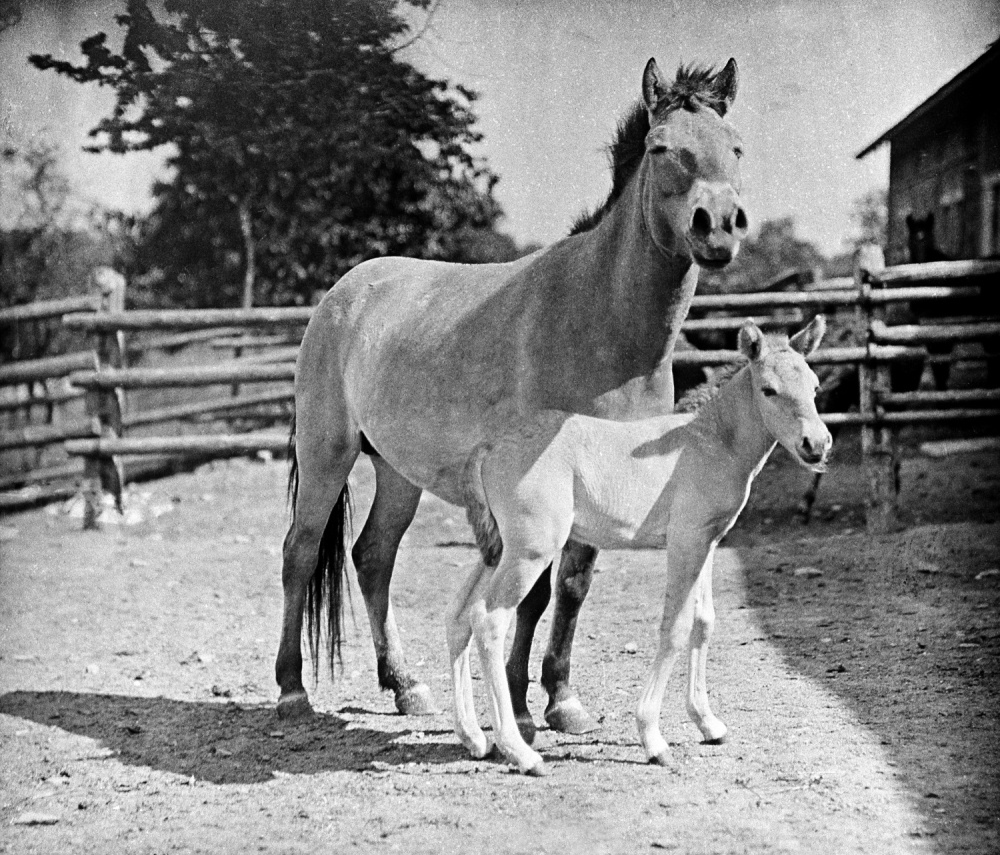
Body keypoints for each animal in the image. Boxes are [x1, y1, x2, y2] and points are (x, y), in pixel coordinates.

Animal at [278, 60, 748, 732]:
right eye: (662, 148)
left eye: (735, 147)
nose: (719, 225)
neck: (600, 319)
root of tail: (343, 293)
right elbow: (538, 590)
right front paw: (522, 706)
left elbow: (571, 586)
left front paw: (560, 698)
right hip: (326, 453)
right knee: (300, 550)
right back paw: (292, 690)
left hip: (398, 470)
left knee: (373, 557)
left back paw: (405, 686)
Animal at [450, 316, 832, 776]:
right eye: (769, 390)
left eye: (814, 387)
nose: (817, 444)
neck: (709, 440)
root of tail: (489, 445)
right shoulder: (685, 541)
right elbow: (675, 627)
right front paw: (653, 738)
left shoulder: (707, 540)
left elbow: (704, 622)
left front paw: (708, 723)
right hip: (529, 552)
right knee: (489, 620)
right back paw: (520, 752)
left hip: (497, 550)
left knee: (459, 616)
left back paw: (473, 738)